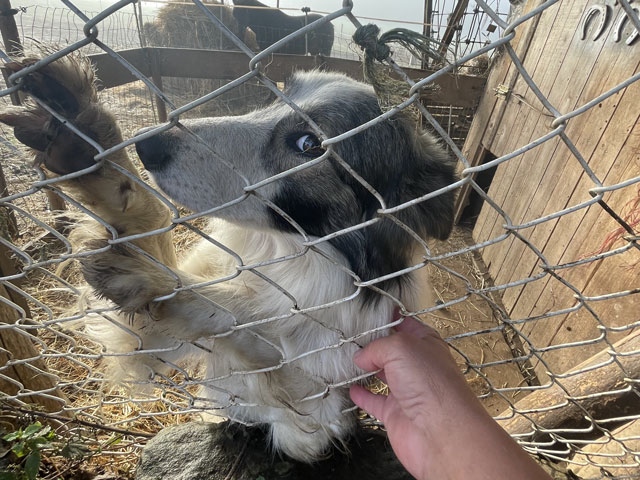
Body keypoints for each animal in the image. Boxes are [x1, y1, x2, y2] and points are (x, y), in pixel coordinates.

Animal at [0, 52, 455, 461]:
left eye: (308, 144)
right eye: (274, 96)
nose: (148, 142)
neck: (282, 254)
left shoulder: (315, 414)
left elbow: (243, 323)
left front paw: (157, 281)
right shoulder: (148, 337)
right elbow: (158, 222)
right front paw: (86, 140)